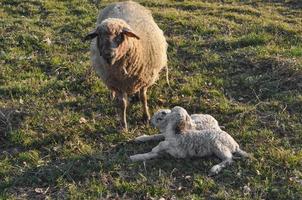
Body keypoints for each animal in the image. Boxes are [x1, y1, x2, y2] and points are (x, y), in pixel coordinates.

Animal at [84, 0, 168, 131]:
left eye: (120, 35)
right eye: (99, 35)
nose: (108, 54)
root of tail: (124, 2)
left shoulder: (144, 79)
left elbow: (143, 97)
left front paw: (146, 117)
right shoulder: (118, 84)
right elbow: (122, 104)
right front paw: (123, 125)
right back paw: (112, 95)